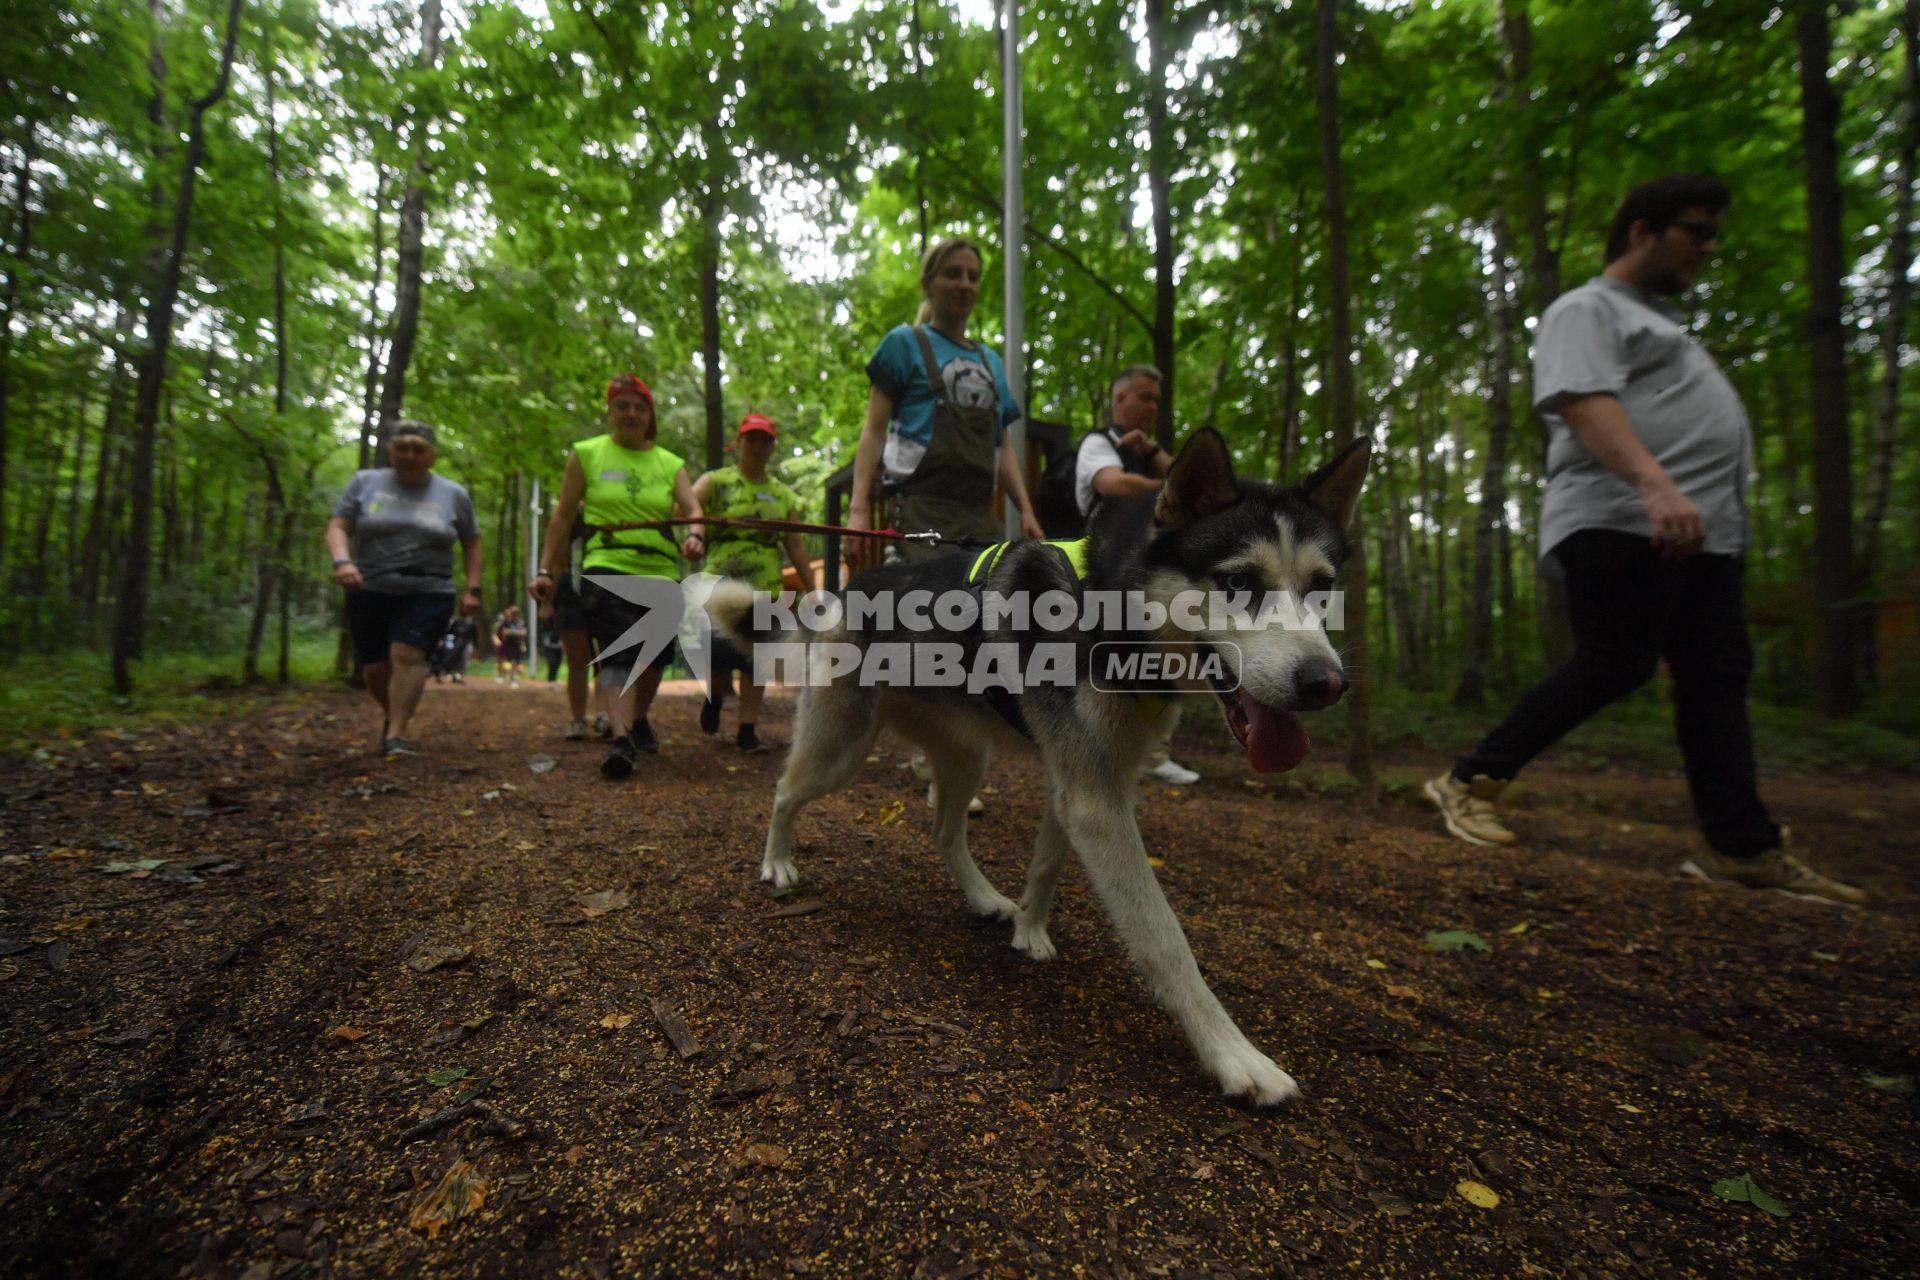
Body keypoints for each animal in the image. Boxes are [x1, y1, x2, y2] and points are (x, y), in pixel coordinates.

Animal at [706, 433, 1367, 1113]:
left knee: (943, 831)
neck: (1109, 606)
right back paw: (778, 864)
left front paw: (1028, 928)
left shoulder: (1084, 783)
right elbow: (1165, 938)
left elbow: (1047, 864)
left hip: (967, 756)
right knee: (785, 791)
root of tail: (841, 594)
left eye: (1322, 588)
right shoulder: (1095, 799)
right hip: (841, 747)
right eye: (1239, 582)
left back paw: (984, 898)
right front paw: (1234, 1054)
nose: (1326, 684)